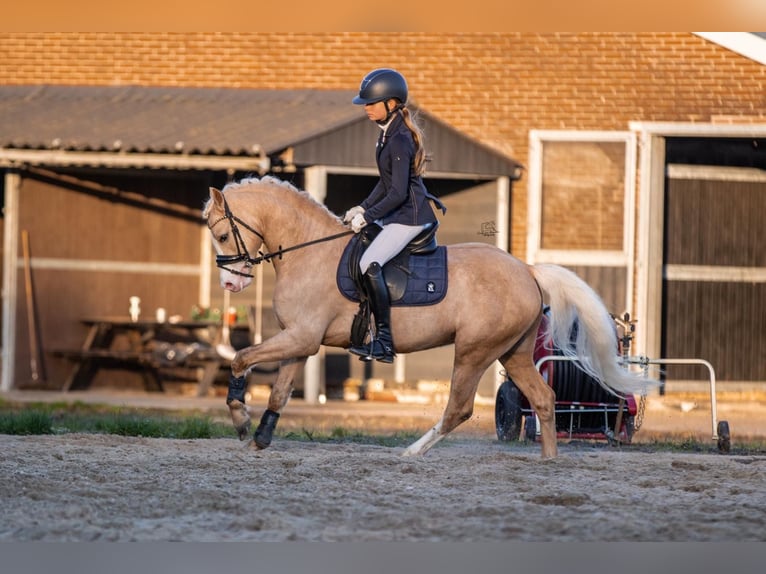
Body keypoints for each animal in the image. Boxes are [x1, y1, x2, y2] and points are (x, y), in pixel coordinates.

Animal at [203, 175, 657, 459]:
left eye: (222, 234)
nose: (230, 285)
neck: (308, 250)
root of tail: (526, 270)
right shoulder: (299, 341)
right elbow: (278, 392)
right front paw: (260, 438)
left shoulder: (302, 338)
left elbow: (240, 358)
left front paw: (240, 419)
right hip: (513, 353)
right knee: (544, 398)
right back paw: (549, 461)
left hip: (474, 352)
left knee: (459, 408)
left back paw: (412, 452)